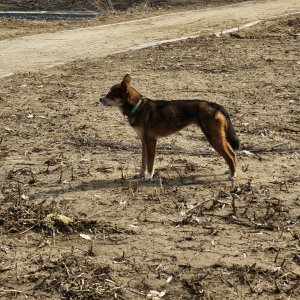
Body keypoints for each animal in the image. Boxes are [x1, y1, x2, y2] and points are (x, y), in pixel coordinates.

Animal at [99, 75, 240, 180]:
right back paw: (230, 171)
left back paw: (232, 175)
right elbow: (143, 162)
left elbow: (150, 163)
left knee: (229, 155)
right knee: (232, 153)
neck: (137, 106)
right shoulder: (143, 142)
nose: (100, 99)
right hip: (218, 137)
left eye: (110, 94)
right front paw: (141, 174)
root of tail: (214, 104)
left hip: (214, 138)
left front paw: (148, 176)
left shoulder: (151, 142)